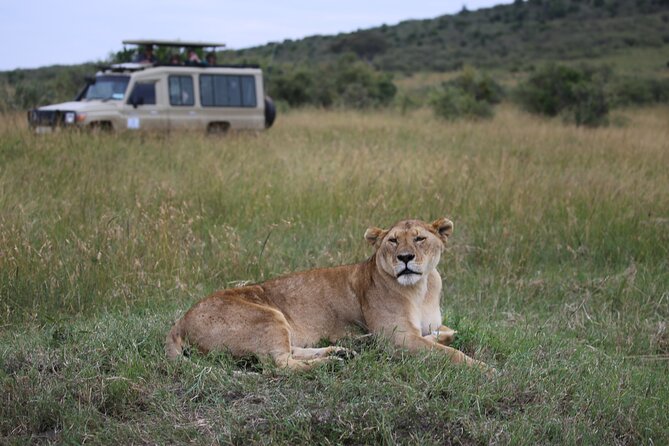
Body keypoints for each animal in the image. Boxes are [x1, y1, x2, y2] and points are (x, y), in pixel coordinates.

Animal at [166, 218, 490, 372]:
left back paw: (340, 351)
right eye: (393, 241)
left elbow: (445, 333)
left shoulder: (427, 325)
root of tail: (181, 319)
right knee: (279, 365)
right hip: (267, 316)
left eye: (420, 238)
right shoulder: (396, 338)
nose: (406, 257)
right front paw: (484, 369)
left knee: (289, 352)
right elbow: (449, 353)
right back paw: (331, 362)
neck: (421, 290)